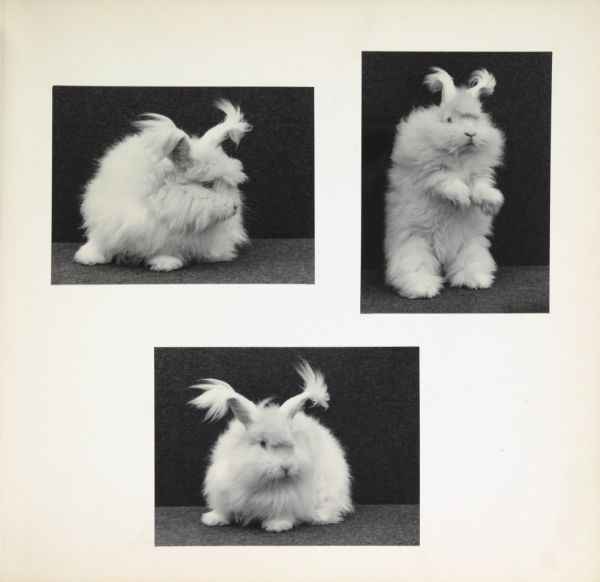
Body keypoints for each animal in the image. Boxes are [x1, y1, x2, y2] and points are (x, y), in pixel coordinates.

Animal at [73, 100, 251, 272]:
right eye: (208, 184)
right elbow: (100, 242)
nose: (235, 207)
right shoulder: (110, 220)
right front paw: (88, 257)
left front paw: (165, 264)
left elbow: (164, 250)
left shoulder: (166, 238)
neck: (156, 199)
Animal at [189, 360, 352, 532]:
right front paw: (212, 519)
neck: (263, 483)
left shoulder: (289, 500)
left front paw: (277, 526)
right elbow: (224, 511)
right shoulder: (222, 487)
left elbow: (283, 513)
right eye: (262, 443)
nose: (286, 467)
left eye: (293, 443)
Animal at [384, 68, 506, 302]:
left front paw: (492, 203)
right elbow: (446, 180)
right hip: (415, 243)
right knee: (414, 266)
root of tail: (444, 254)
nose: (471, 134)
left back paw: (476, 281)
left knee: (468, 263)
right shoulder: (429, 172)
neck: (460, 157)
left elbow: (480, 186)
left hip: (470, 244)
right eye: (448, 120)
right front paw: (461, 199)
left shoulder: (478, 174)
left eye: (476, 120)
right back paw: (422, 288)